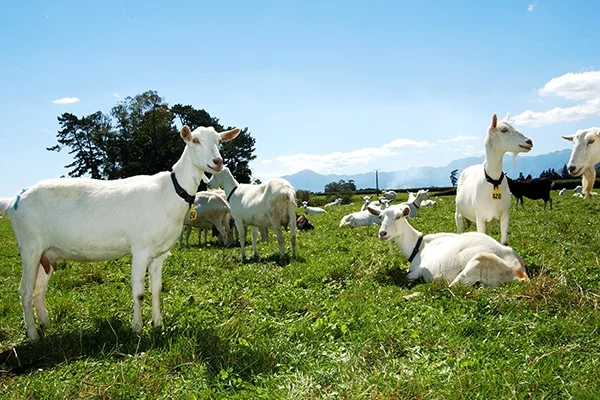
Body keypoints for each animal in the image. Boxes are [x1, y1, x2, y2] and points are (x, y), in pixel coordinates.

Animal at [0, 125, 239, 340]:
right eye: (195, 140)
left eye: (219, 141)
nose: (217, 162)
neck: (169, 191)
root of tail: (14, 201)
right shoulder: (140, 249)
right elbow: (139, 292)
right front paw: (137, 329)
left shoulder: (159, 253)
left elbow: (156, 289)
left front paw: (158, 323)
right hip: (29, 247)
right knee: (24, 290)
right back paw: (33, 336)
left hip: (46, 253)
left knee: (38, 289)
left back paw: (45, 324)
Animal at [368, 205, 528, 286]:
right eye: (380, 216)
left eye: (398, 217)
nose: (382, 233)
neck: (420, 247)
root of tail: (521, 273)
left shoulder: (419, 270)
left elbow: (408, 277)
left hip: (479, 261)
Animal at [454, 111, 536, 244]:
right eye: (503, 130)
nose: (529, 141)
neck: (494, 181)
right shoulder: (480, 218)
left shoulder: (505, 215)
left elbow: (504, 243)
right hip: (459, 214)